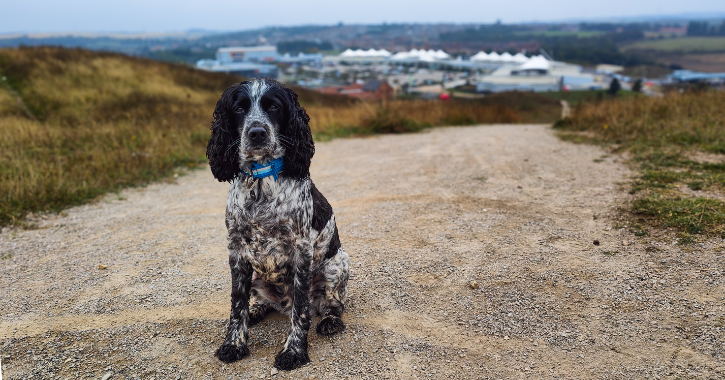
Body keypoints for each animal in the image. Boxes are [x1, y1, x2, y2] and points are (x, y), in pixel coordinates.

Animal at [205, 78, 350, 372]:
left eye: (273, 107)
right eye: (239, 108)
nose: (257, 133)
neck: (261, 180)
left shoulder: (302, 250)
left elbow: (301, 310)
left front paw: (293, 352)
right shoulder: (236, 250)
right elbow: (237, 304)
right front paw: (233, 344)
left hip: (338, 264)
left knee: (332, 303)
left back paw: (330, 320)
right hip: (258, 278)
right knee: (265, 302)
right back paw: (256, 310)